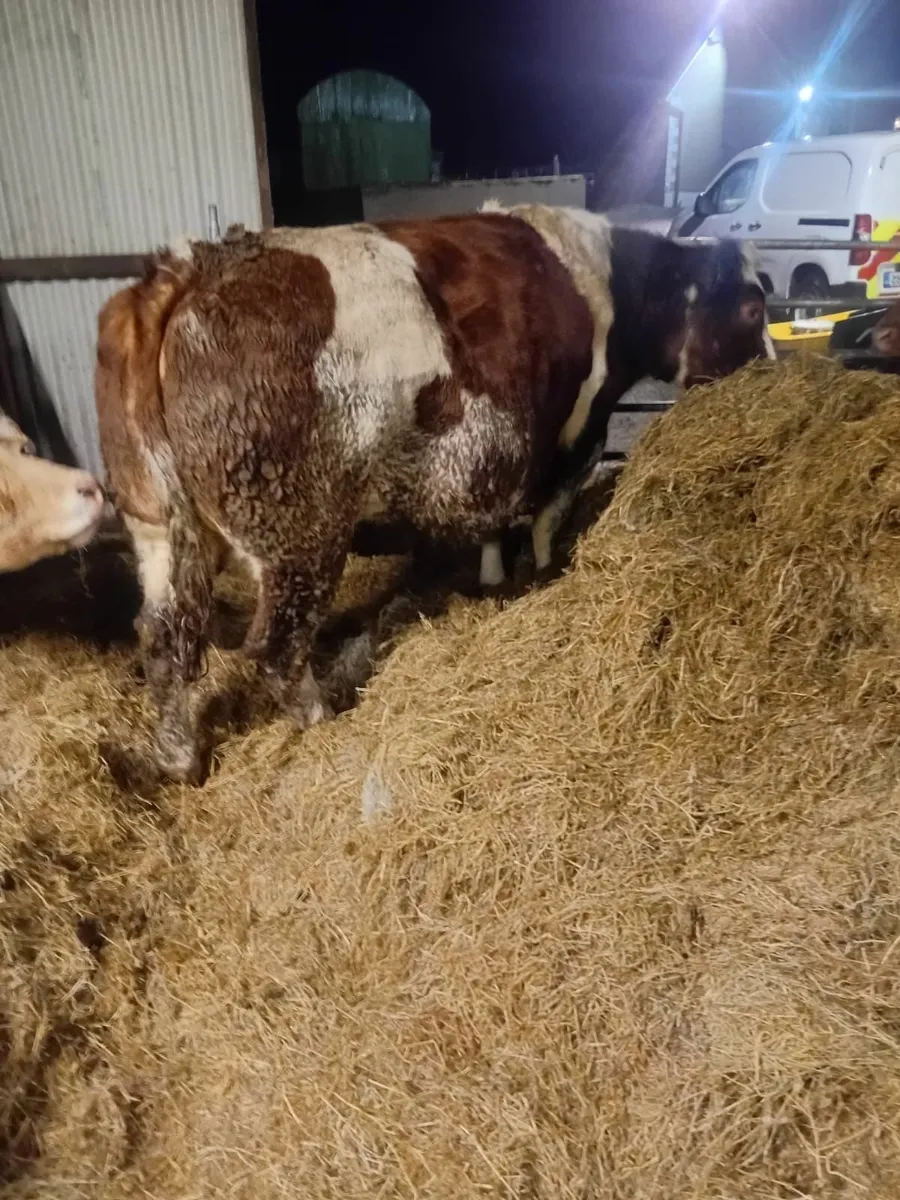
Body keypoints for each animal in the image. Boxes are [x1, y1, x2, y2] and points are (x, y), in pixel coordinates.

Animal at [96, 205, 772, 785]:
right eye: (751, 307)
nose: (769, 368)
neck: (607, 282)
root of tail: (187, 270)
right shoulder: (577, 433)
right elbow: (546, 518)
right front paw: (545, 574)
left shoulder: (496, 453)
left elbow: (494, 520)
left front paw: (494, 578)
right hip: (297, 533)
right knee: (276, 647)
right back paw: (322, 721)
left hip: (160, 528)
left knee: (164, 638)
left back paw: (179, 760)